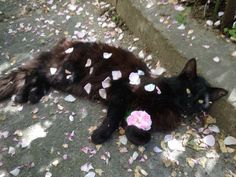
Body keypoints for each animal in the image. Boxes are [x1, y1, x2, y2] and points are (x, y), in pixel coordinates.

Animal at [0, 38, 229, 145]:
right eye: (188, 91)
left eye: (201, 102)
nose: (190, 105)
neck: (166, 101)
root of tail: (67, 43)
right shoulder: (122, 94)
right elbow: (112, 119)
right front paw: (100, 135)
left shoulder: (148, 118)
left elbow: (144, 135)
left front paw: (131, 131)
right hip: (66, 74)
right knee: (36, 73)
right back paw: (23, 94)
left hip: (63, 80)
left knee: (38, 76)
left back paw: (31, 94)